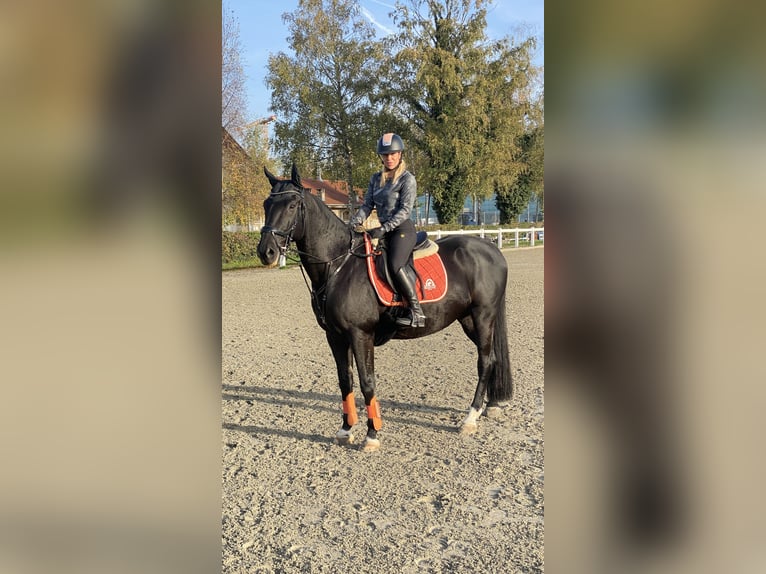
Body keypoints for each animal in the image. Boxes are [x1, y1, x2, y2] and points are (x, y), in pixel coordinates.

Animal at [257, 164, 513, 451]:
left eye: (292, 205)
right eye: (267, 204)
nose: (266, 252)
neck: (338, 266)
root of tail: (491, 248)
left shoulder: (360, 335)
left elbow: (367, 382)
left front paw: (372, 435)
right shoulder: (335, 336)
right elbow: (345, 380)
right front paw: (346, 430)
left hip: (483, 316)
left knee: (485, 361)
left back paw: (470, 418)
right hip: (468, 318)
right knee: (492, 358)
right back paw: (489, 407)